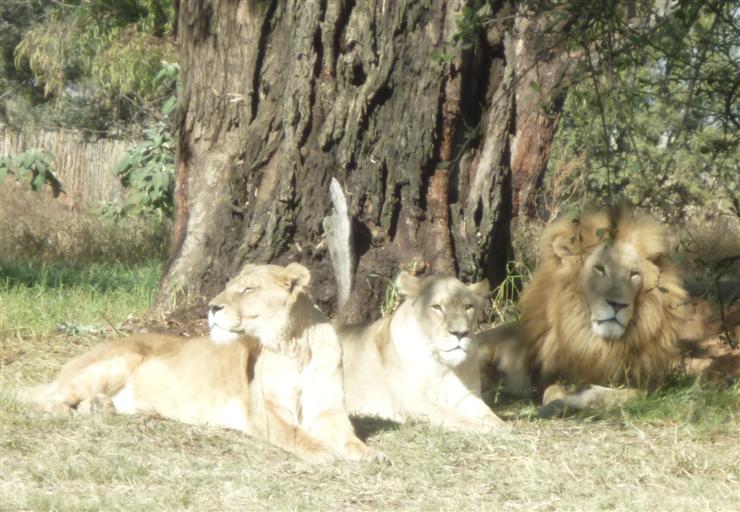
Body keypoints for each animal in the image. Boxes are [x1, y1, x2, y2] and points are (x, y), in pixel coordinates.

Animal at [19, 263, 383, 463]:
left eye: (248, 289)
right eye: (228, 287)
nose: (211, 306)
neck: (294, 348)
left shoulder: (329, 412)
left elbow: (350, 438)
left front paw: (370, 454)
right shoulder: (264, 412)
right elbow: (295, 434)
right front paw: (322, 450)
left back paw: (98, 408)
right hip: (116, 360)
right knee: (43, 398)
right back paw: (64, 410)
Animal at [336, 271, 508, 432]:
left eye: (468, 307)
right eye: (437, 307)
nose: (460, 333)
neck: (443, 366)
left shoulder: (467, 397)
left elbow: (490, 415)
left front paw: (502, 426)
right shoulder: (412, 400)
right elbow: (452, 415)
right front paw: (485, 427)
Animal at [479, 207, 739, 416]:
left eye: (634, 274)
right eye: (600, 269)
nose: (618, 304)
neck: (599, 344)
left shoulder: (649, 384)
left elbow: (620, 395)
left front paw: (578, 400)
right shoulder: (550, 375)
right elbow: (552, 392)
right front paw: (557, 403)